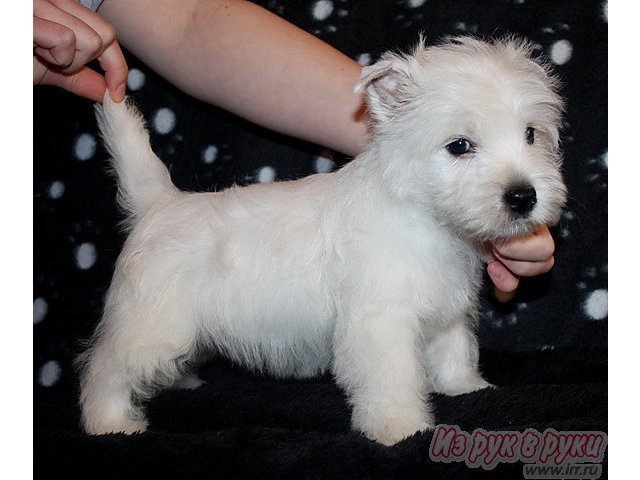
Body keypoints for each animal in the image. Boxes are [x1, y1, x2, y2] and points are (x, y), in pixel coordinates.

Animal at [79, 37, 564, 446]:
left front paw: (465, 386)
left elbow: (454, 349)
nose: (523, 197)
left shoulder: (446, 307)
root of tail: (159, 203)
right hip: (151, 324)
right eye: (459, 146)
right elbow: (393, 379)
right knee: (106, 369)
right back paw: (111, 422)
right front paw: (401, 428)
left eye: (530, 134)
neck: (426, 216)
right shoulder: (381, 321)